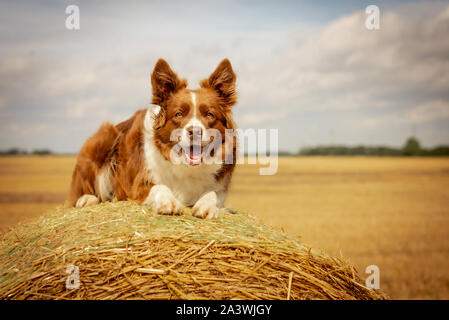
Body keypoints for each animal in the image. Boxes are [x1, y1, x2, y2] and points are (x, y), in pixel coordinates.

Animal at [68, 57, 236, 219]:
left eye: (209, 114)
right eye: (178, 114)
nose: (194, 131)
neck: (187, 167)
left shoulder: (220, 187)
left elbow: (213, 193)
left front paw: (207, 205)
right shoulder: (138, 186)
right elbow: (159, 186)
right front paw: (169, 202)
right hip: (103, 139)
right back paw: (86, 199)